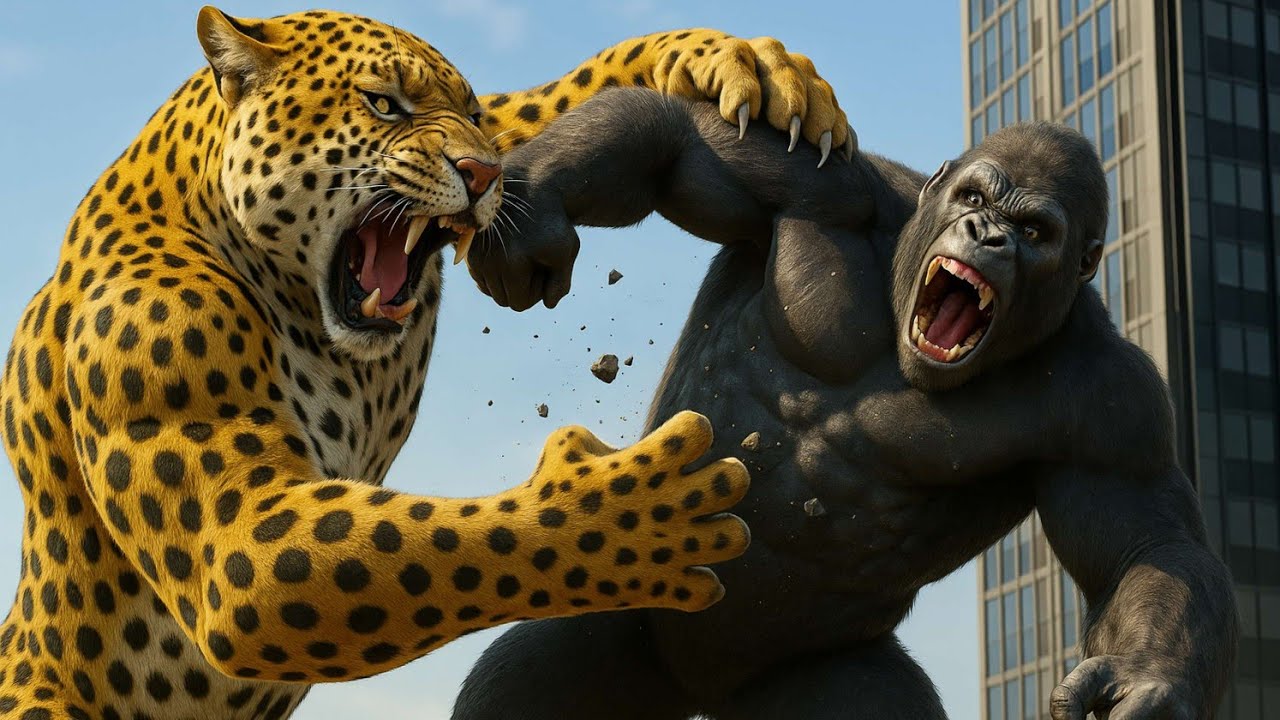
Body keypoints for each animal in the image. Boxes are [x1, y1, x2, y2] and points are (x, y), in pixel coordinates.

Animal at [0, 6, 851, 720]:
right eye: (383, 104)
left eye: (470, 115)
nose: (481, 175)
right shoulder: (228, 511)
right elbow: (444, 545)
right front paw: (632, 514)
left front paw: (741, 62)